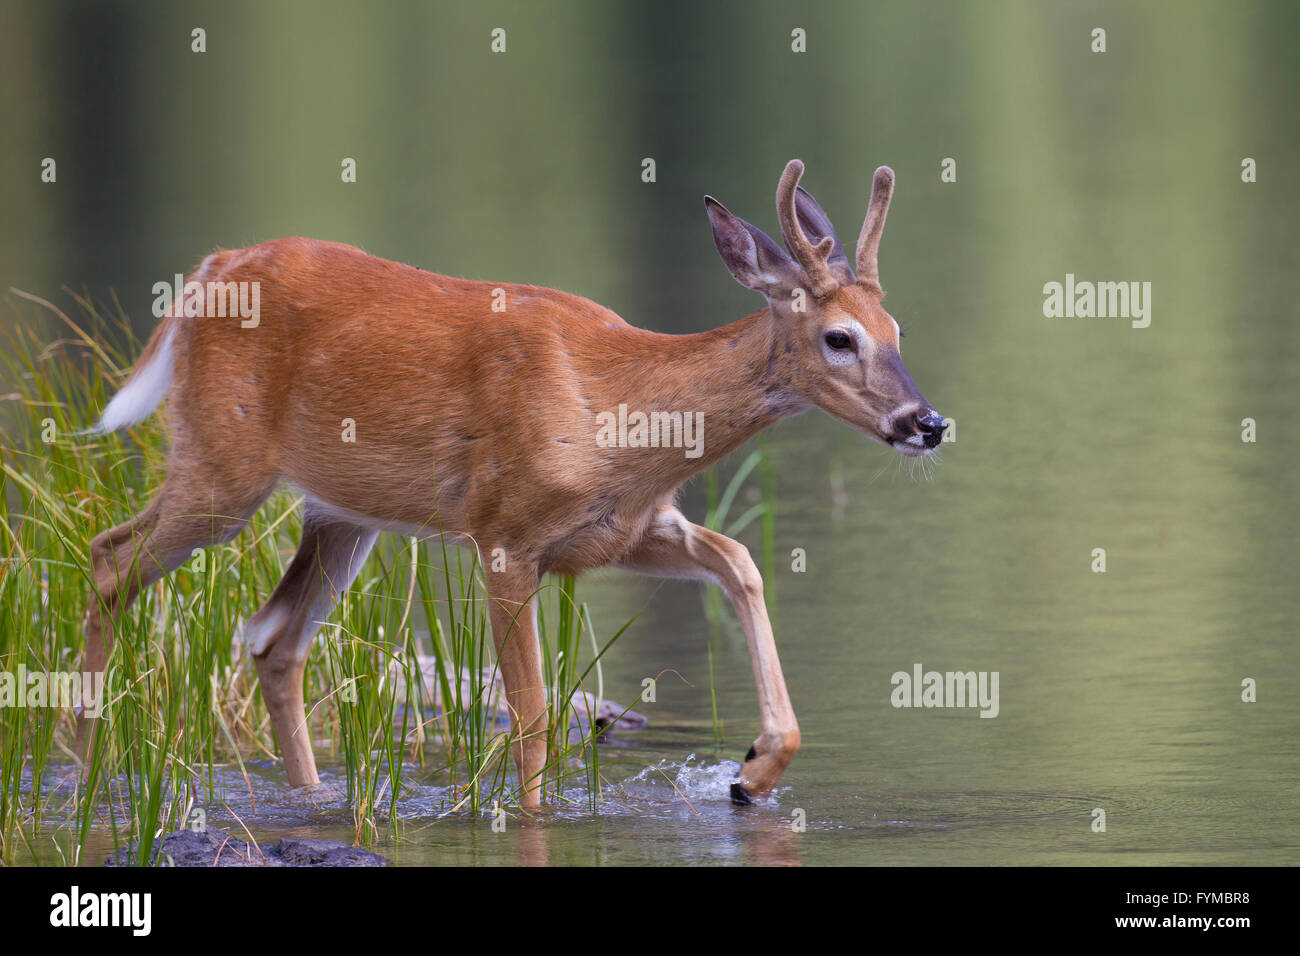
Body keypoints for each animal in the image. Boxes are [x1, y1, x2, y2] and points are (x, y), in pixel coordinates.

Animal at [78, 160, 946, 811]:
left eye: (899, 332)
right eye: (840, 338)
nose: (927, 422)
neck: (618, 410)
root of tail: (207, 271)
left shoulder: (624, 529)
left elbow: (739, 559)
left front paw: (755, 769)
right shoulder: (504, 531)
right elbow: (532, 712)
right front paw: (536, 815)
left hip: (341, 514)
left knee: (273, 637)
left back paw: (309, 792)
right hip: (222, 464)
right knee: (112, 558)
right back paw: (82, 765)